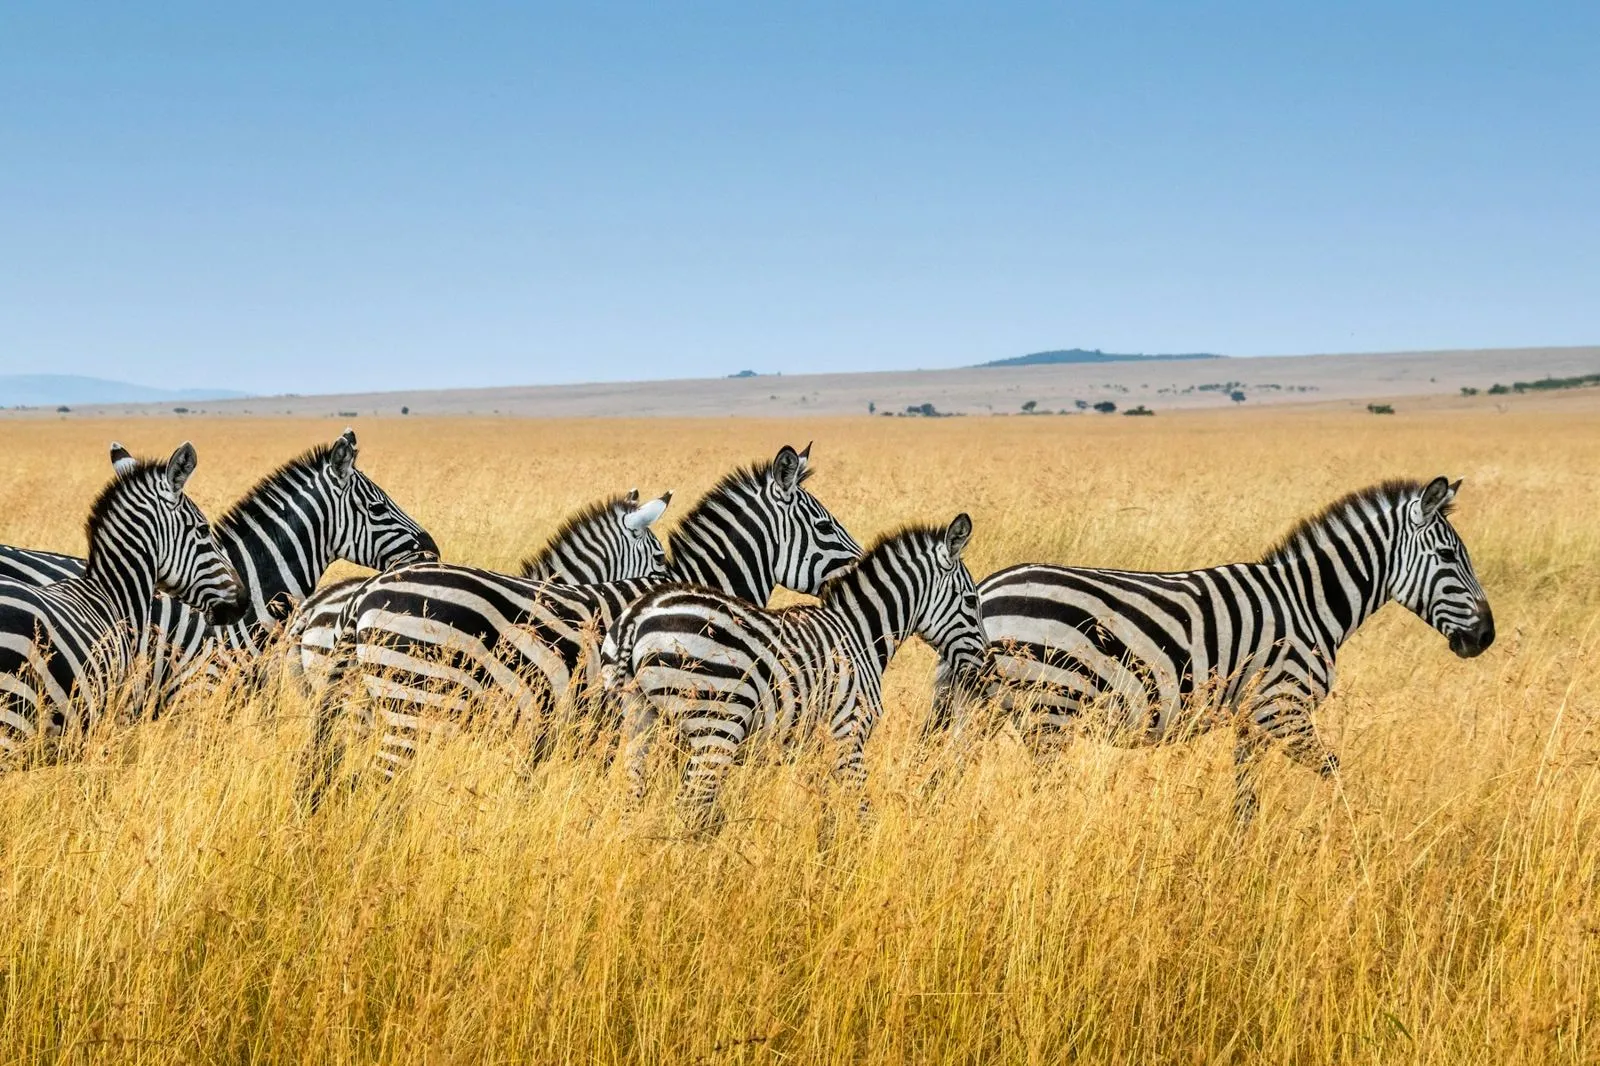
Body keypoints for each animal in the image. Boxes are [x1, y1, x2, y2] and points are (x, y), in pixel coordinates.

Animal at [608, 515, 985, 828]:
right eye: (970, 600)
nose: (984, 667)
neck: (860, 634)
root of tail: (638, 615)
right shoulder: (848, 732)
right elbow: (861, 808)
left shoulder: (813, 744)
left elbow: (826, 809)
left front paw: (824, 853)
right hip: (716, 724)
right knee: (691, 804)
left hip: (640, 717)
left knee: (633, 798)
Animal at [928, 477, 1495, 823]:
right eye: (1450, 557)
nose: (1485, 637)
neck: (1310, 602)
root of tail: (987, 590)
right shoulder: (1282, 708)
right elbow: (1334, 771)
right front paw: (1354, 838)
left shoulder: (1252, 717)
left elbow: (1245, 797)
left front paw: (1239, 857)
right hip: (1050, 707)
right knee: (1041, 790)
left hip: (983, 708)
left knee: (944, 776)